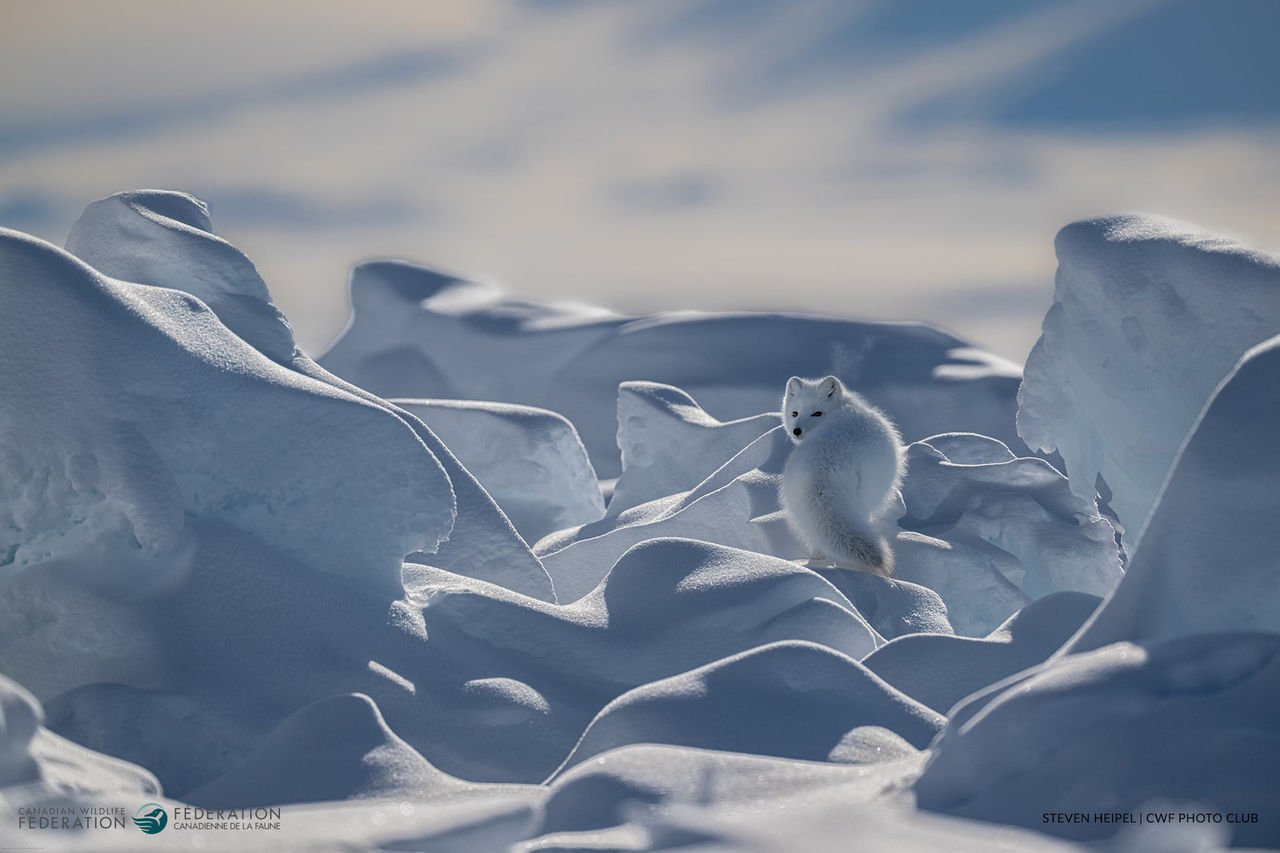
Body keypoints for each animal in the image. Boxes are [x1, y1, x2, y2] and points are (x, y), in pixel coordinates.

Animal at [779, 375, 905, 576]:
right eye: (795, 413)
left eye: (817, 413)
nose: (796, 431)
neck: (844, 407)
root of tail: (823, 466)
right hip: (864, 499)